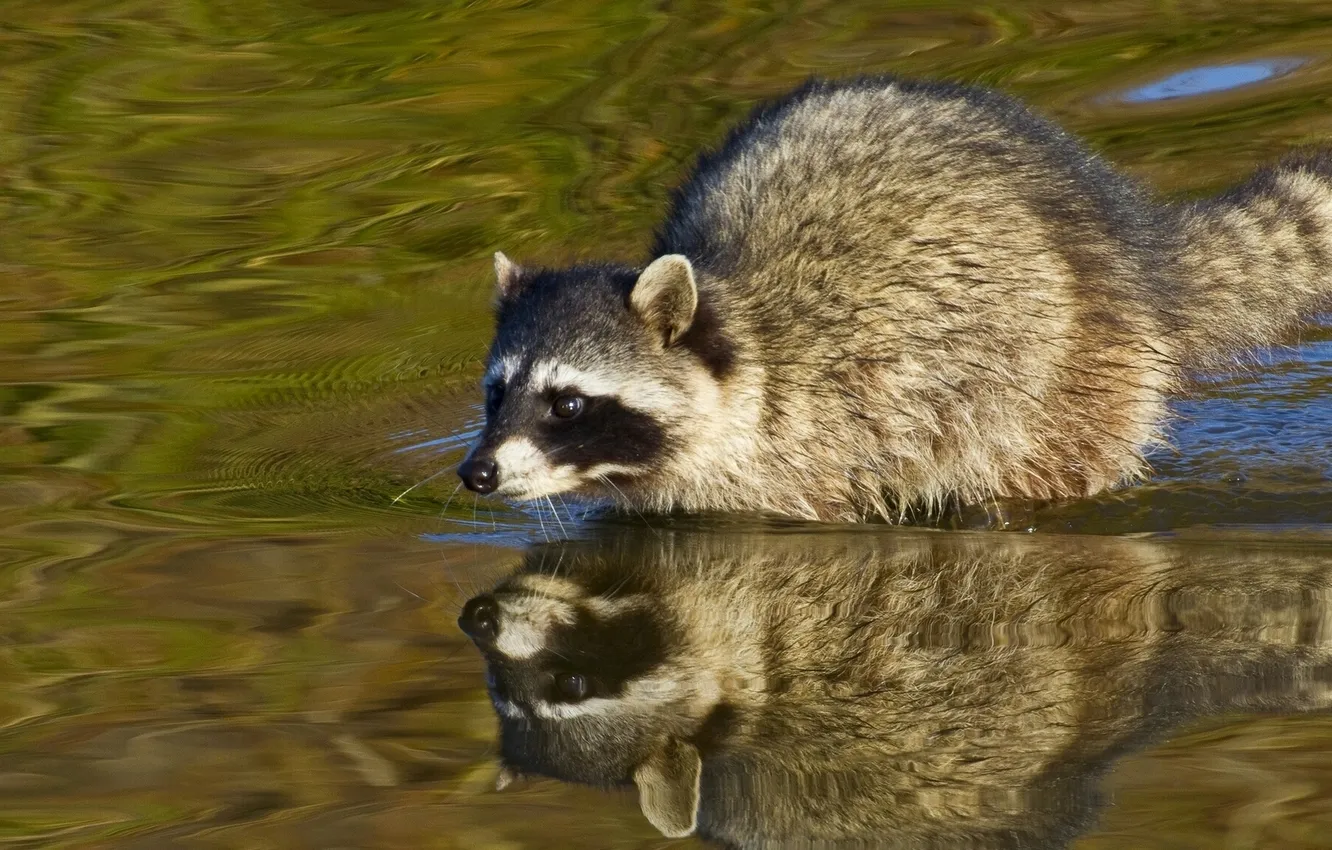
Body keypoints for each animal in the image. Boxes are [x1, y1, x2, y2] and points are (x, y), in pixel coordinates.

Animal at [458, 76, 1332, 522]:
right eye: (496, 393)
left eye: (569, 404)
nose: (477, 474)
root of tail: (1129, 239)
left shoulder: (833, 442)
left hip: (1067, 373)